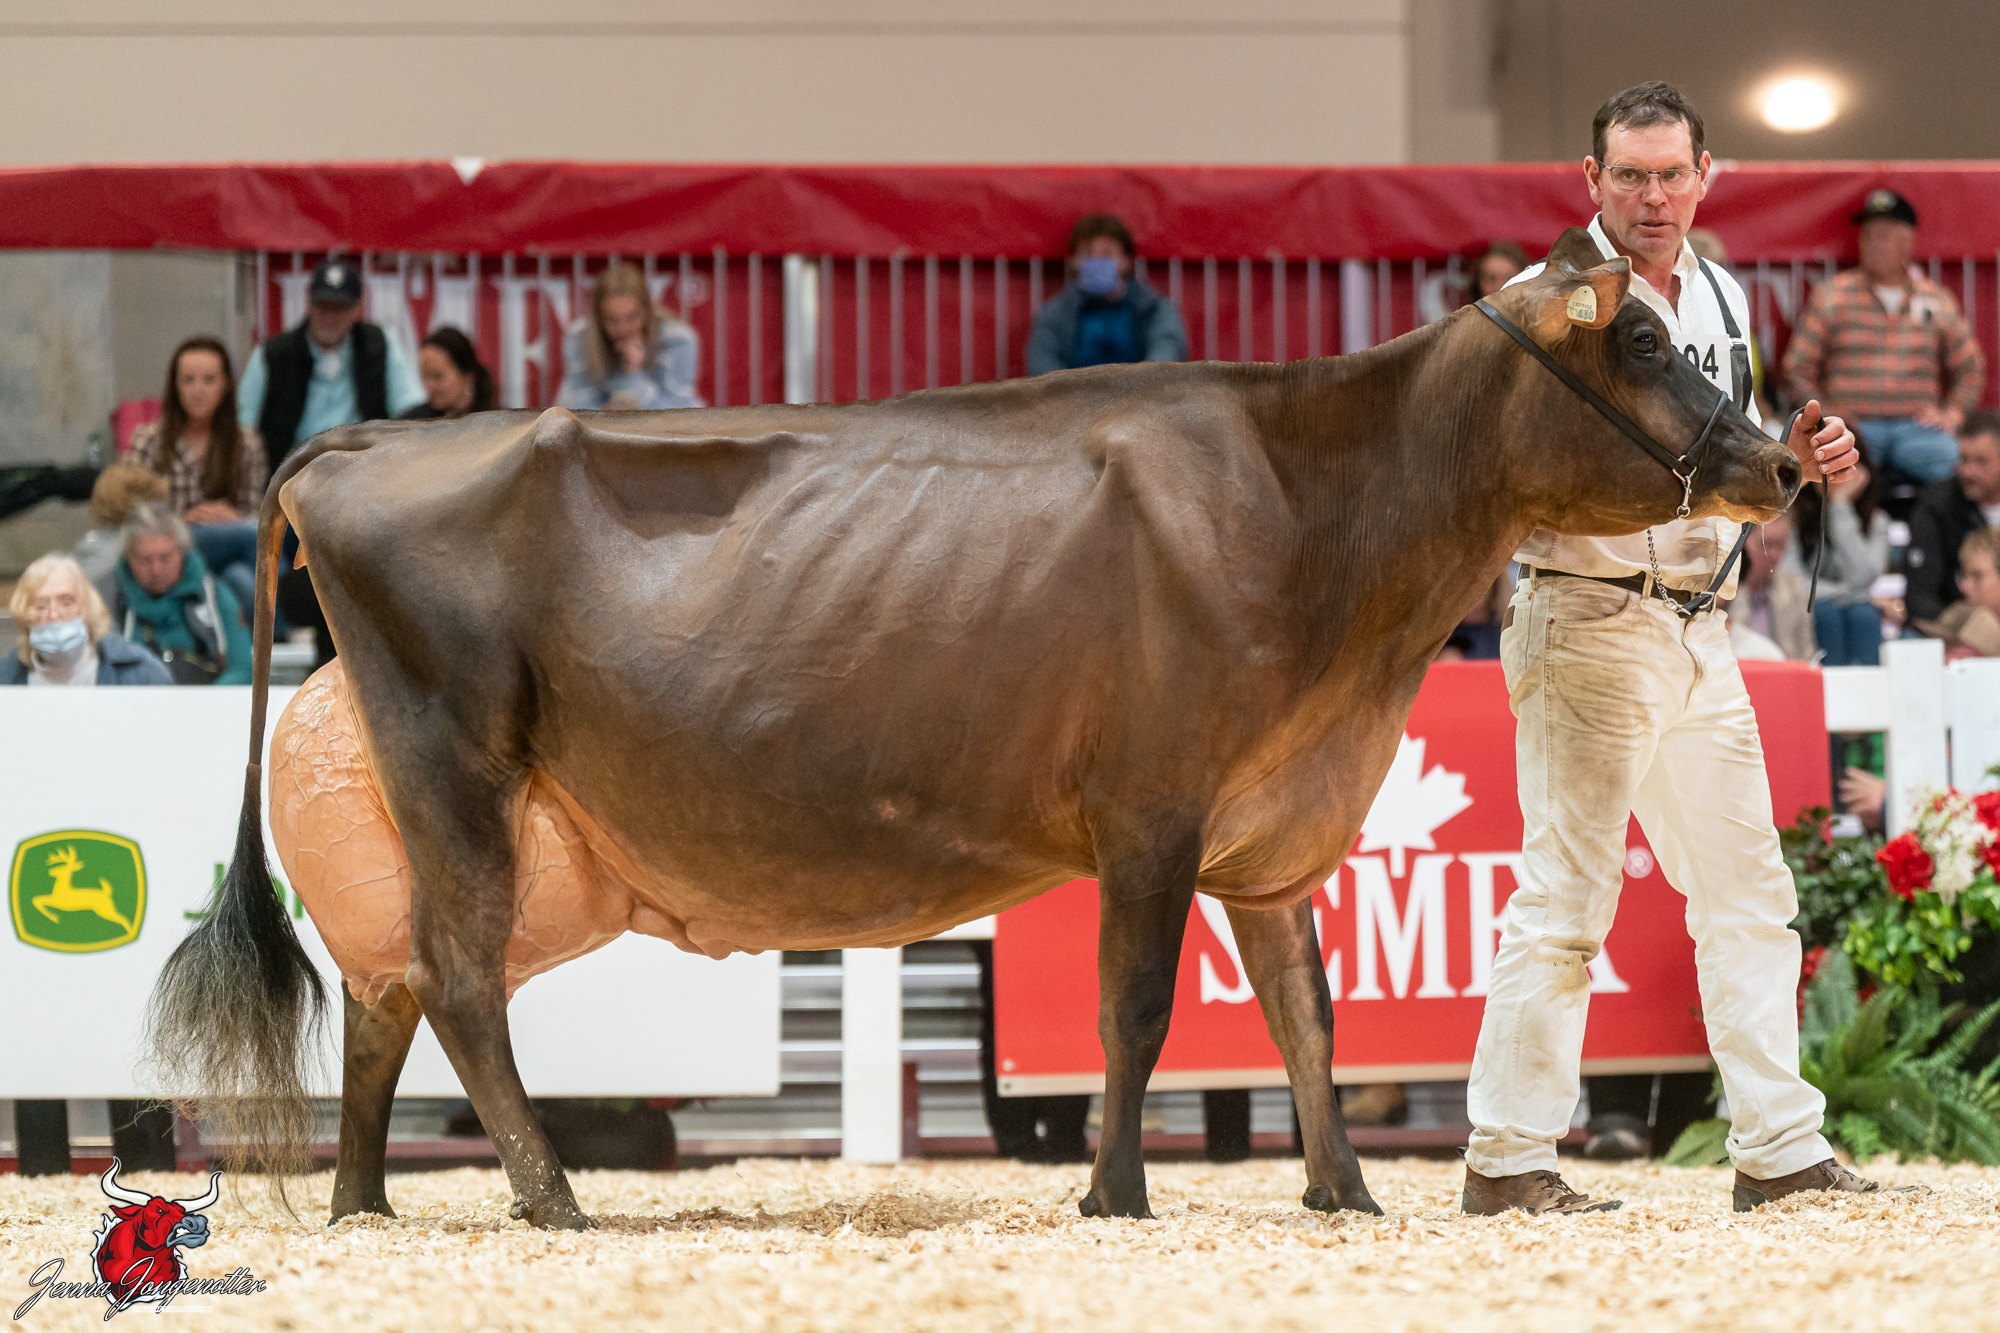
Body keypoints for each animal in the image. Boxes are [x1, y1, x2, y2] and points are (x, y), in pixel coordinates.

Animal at [149, 229, 1801, 1231]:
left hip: (443, 806)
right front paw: (1117, 1192)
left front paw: (1342, 1192)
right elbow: (1140, 1006)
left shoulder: (1275, 828)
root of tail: (359, 442)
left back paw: (365, 1197)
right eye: (1642, 347)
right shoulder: (1152, 806)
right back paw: (550, 1193)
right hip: (459, 761)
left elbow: (1305, 1014)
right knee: (460, 980)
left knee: (388, 985)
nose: (1782, 462)